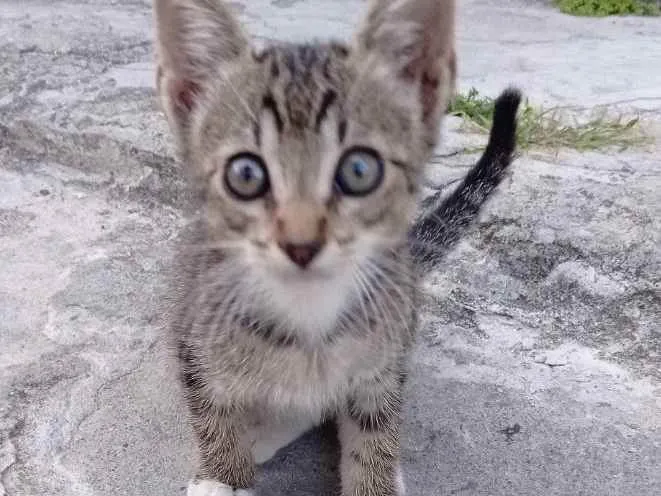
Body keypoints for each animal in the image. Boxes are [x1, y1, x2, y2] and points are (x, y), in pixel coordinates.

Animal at [152, 0, 520, 496]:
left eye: (359, 170)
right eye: (245, 174)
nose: (301, 244)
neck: (307, 312)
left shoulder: (382, 370)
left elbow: (375, 432)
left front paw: (377, 476)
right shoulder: (194, 335)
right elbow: (212, 409)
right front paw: (222, 478)